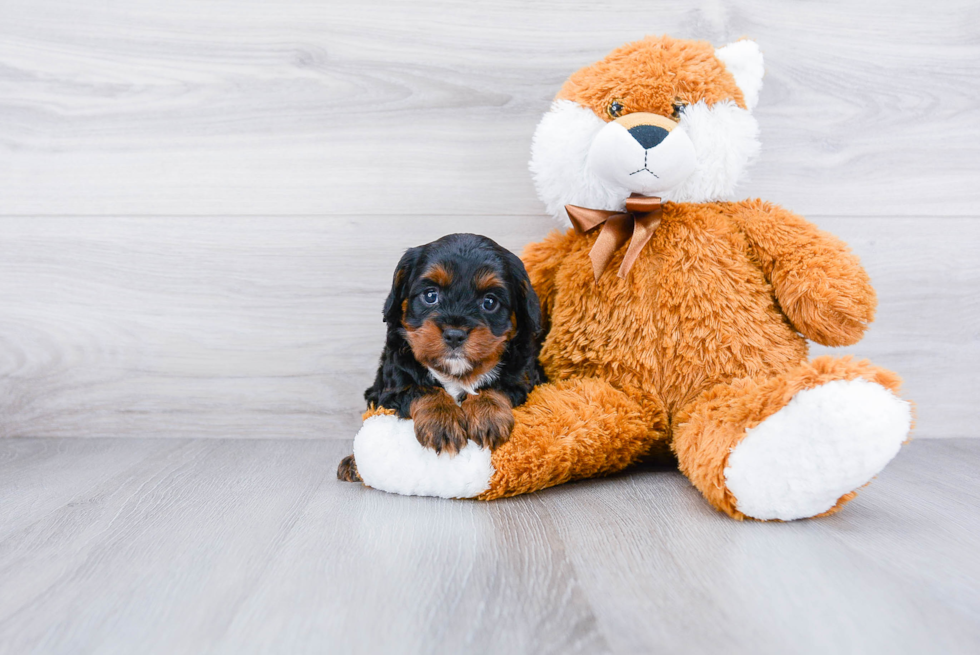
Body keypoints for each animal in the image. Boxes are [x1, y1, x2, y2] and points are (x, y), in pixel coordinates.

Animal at [338, 234, 544, 482]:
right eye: (430, 295)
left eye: (490, 302)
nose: (454, 334)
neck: (456, 373)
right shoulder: (390, 387)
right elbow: (421, 388)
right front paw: (442, 423)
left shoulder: (523, 378)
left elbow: (497, 385)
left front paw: (488, 415)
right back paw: (352, 464)